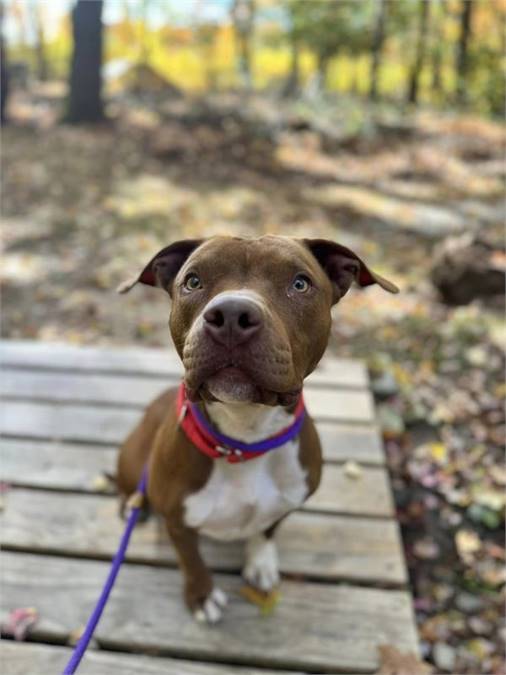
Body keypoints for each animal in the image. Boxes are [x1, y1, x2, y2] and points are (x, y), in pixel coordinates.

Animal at [116, 236, 398, 624]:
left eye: (300, 283)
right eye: (193, 281)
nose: (232, 316)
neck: (244, 436)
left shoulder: (288, 501)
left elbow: (266, 530)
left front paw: (261, 564)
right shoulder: (177, 522)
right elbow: (192, 561)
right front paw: (202, 595)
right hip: (132, 459)